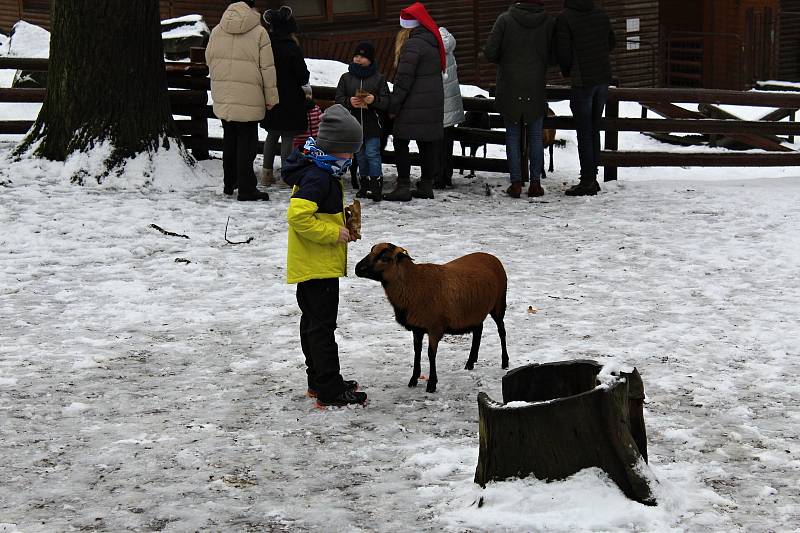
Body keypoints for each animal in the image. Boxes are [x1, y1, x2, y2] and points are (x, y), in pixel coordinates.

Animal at [354, 243, 510, 392]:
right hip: (476, 310)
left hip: (499, 304)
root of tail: (492, 257)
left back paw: (505, 362)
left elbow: (431, 354)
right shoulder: (417, 328)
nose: (357, 268)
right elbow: (417, 351)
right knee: (478, 330)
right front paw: (414, 379)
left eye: (384, 257)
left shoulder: (435, 327)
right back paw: (470, 362)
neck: (413, 284)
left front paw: (431, 384)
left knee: (501, 331)